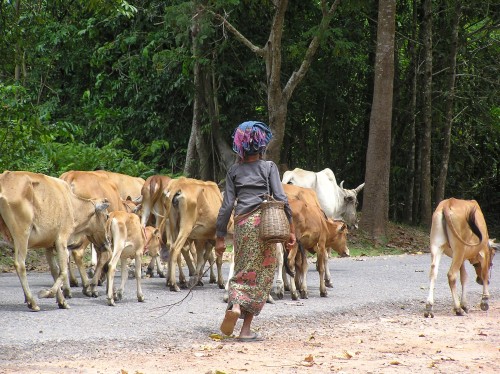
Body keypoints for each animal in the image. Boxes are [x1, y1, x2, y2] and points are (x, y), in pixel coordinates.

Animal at [0, 171, 109, 312]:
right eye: (106, 216)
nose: (106, 243)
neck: (72, 204)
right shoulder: (61, 240)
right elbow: (62, 271)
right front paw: (47, 293)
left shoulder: (48, 246)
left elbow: (55, 271)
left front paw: (62, 301)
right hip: (22, 234)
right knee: (20, 264)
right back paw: (32, 302)